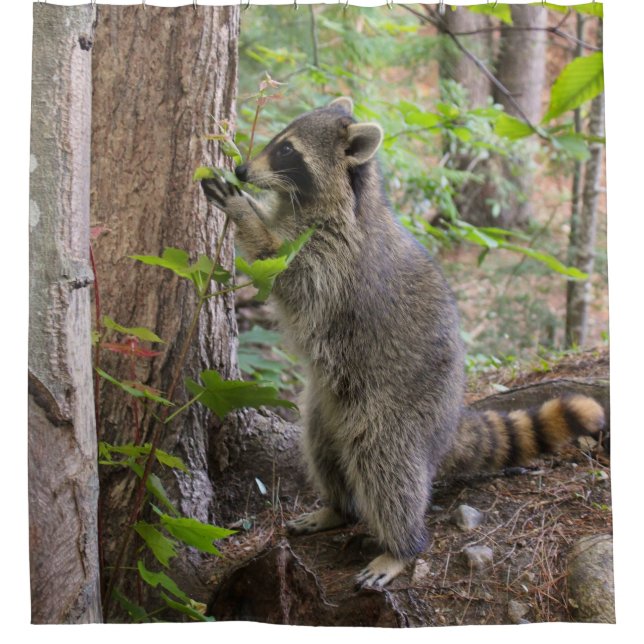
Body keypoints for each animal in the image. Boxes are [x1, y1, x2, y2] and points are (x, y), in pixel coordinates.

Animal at [201, 97, 606, 588]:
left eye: (286, 151)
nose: (242, 169)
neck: (344, 197)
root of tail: (447, 426)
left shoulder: (339, 255)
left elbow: (290, 275)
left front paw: (243, 212)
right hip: (326, 409)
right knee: (323, 451)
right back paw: (337, 507)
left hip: (399, 413)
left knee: (387, 470)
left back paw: (401, 546)